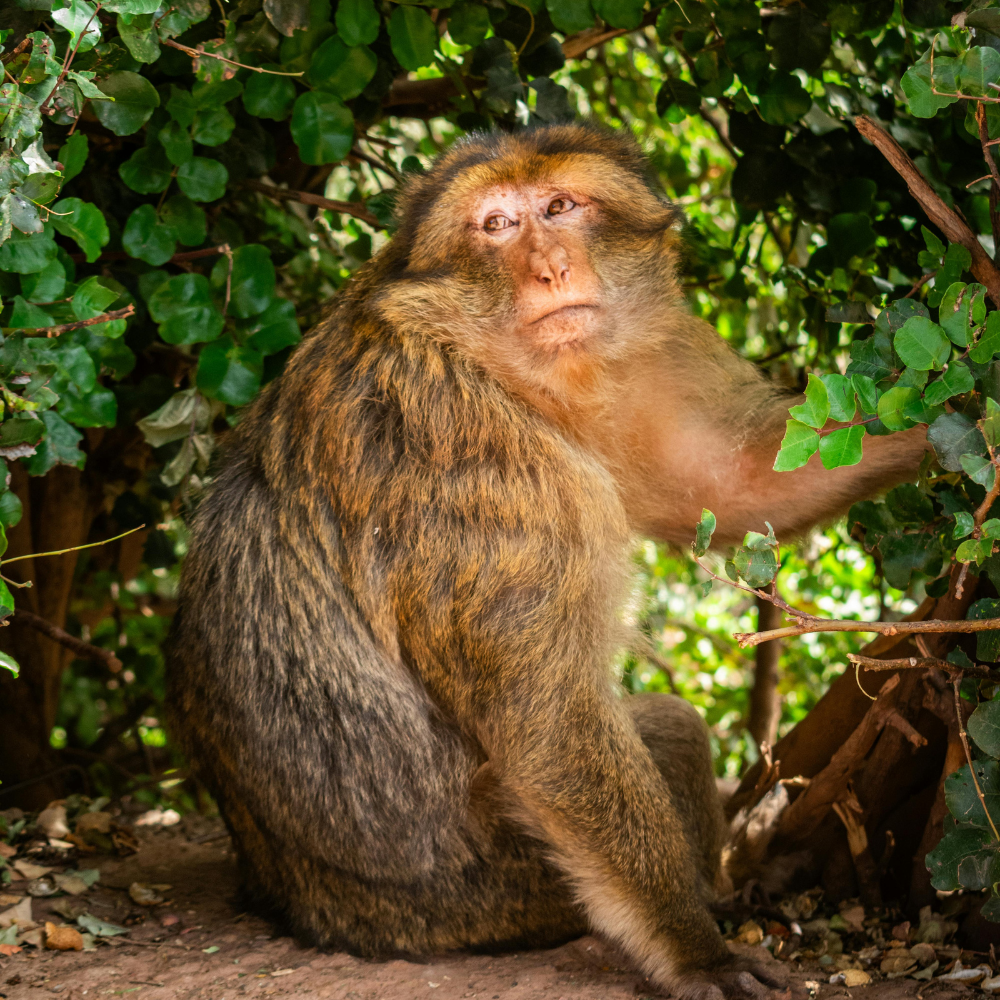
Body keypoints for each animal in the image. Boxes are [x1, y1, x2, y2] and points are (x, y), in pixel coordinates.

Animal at [166, 121, 928, 996]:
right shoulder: (482, 469)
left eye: (561, 207)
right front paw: (695, 949)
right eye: (496, 225)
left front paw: (954, 413)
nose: (550, 267)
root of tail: (296, 901)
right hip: (495, 897)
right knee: (653, 734)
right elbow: (549, 727)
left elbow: (732, 481)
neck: (495, 363)